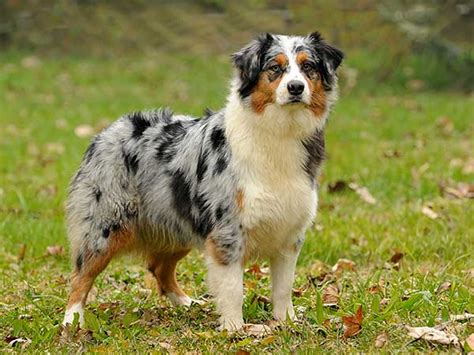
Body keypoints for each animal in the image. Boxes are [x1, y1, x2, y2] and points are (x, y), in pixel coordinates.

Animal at [64, 32, 344, 336]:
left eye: (308, 67)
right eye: (275, 68)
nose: (295, 87)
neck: (279, 132)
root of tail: (106, 131)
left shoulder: (289, 234)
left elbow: (283, 287)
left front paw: (287, 322)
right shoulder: (227, 231)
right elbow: (233, 288)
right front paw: (235, 329)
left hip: (177, 224)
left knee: (159, 268)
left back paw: (189, 304)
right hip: (105, 227)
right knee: (80, 275)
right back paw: (71, 321)